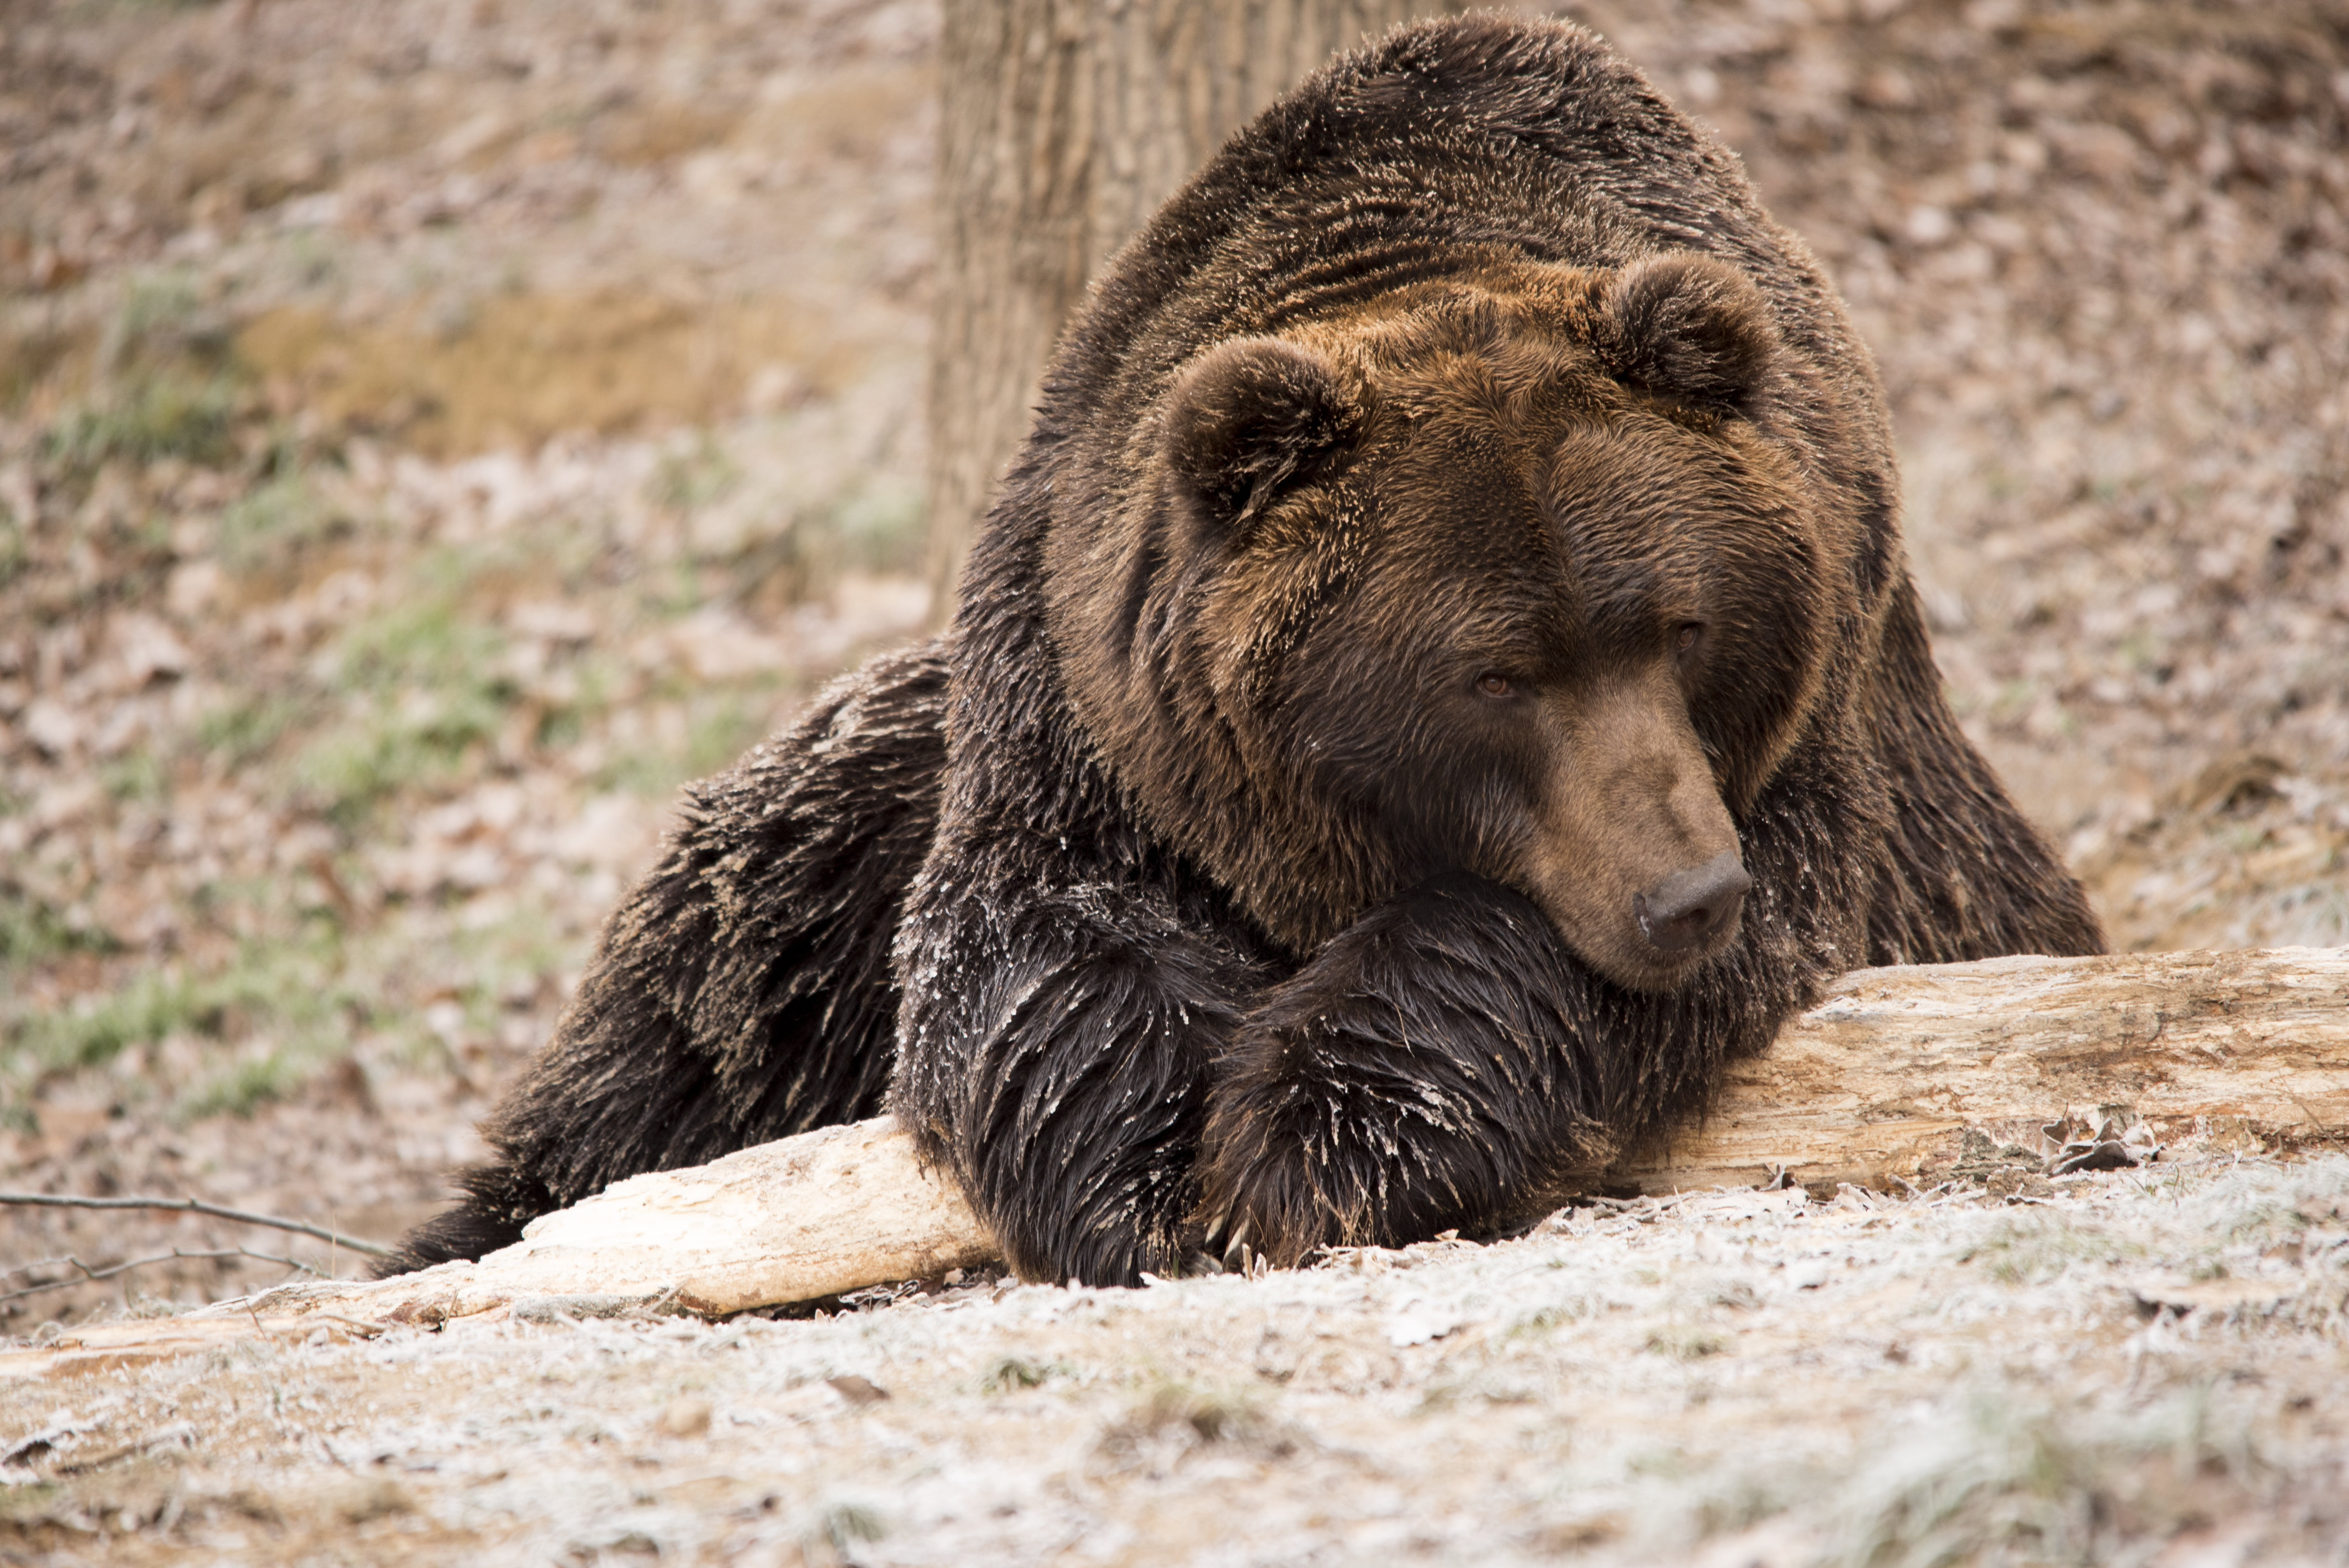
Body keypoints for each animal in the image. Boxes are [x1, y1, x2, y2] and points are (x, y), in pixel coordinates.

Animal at [384, 14, 2103, 1287]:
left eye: (1680, 624)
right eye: (1495, 672)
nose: (1682, 893)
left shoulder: (1811, 746)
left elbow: (1553, 944)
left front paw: (1310, 1134)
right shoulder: (1081, 700)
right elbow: (1032, 938)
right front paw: (1152, 1168)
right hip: (844, 815)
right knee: (713, 980)